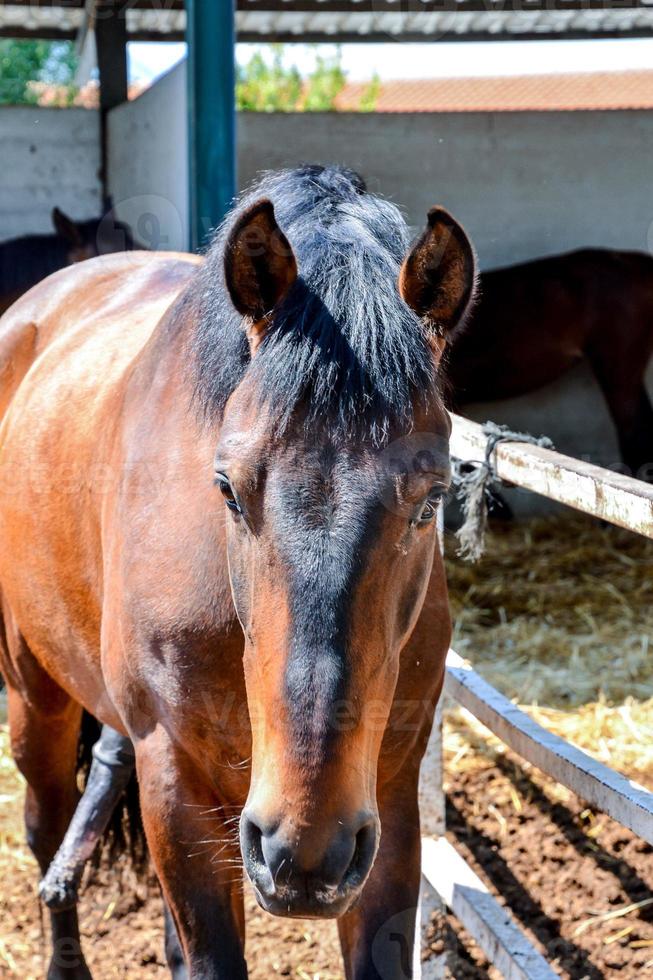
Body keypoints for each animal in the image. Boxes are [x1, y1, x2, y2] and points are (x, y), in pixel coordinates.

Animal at [0, 165, 474, 976]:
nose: (306, 852)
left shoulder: (387, 797)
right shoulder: (173, 781)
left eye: (432, 497)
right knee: (45, 830)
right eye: (226, 486)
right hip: (37, 694)